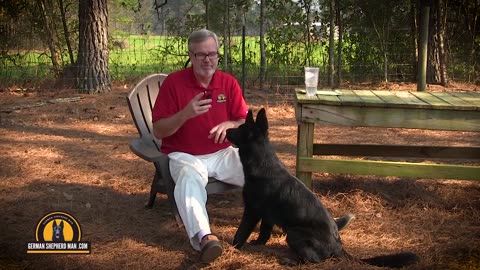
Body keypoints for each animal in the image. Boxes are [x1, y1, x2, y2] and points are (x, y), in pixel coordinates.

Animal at [227, 109, 418, 268]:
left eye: (240, 129)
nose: (227, 131)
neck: (262, 163)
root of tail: (338, 245)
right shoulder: (267, 215)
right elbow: (264, 232)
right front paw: (258, 243)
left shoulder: (252, 210)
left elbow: (241, 232)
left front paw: (233, 247)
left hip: (294, 234)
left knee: (314, 260)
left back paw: (291, 261)